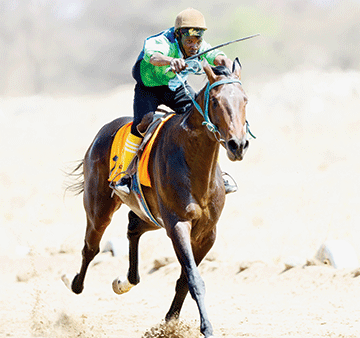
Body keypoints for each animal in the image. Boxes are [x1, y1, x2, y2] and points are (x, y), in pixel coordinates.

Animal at [64, 58, 249, 338]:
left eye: (245, 99)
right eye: (216, 101)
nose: (237, 144)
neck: (194, 163)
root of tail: (102, 132)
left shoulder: (207, 233)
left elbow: (184, 279)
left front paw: (170, 322)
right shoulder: (178, 225)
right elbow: (194, 279)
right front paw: (206, 327)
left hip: (151, 215)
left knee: (133, 226)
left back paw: (125, 281)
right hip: (99, 209)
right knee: (91, 247)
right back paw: (74, 282)